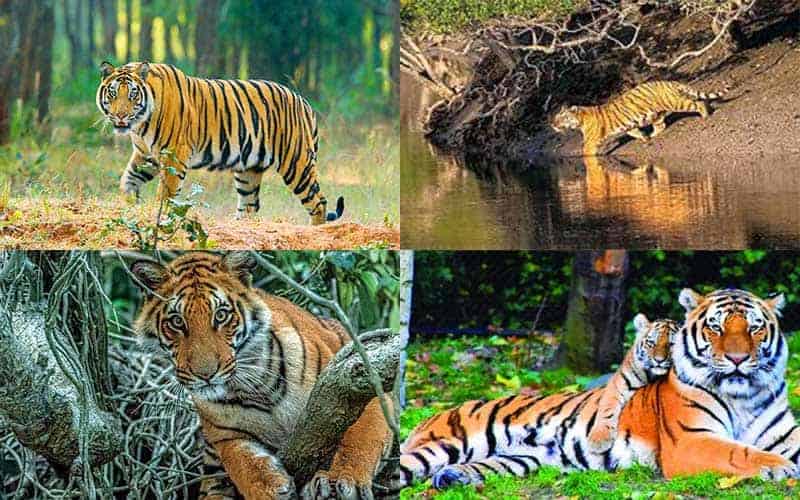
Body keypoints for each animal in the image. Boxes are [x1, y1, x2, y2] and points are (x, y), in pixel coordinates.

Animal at [96, 61, 344, 225]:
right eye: (113, 94)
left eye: (132, 95)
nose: (120, 116)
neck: (140, 123)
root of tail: (304, 102)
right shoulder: (146, 156)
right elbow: (128, 180)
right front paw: (131, 204)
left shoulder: (174, 155)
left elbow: (165, 195)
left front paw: (157, 219)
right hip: (249, 170)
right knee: (250, 205)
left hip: (296, 163)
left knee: (318, 202)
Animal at [130, 252, 392, 499]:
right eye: (176, 322)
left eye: (221, 315)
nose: (206, 374)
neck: (255, 388)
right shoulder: (226, 437)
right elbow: (243, 464)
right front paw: (270, 488)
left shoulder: (356, 382)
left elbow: (359, 437)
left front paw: (341, 480)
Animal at [551, 81, 728, 156]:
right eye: (555, 118)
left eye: (561, 118)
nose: (552, 125)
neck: (580, 120)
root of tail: (669, 82)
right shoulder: (629, 126)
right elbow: (635, 132)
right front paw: (645, 138)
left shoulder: (590, 141)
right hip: (656, 113)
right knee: (661, 125)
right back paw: (653, 136)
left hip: (675, 102)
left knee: (697, 103)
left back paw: (705, 115)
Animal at [586, 314, 678, 453]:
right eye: (651, 343)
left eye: (671, 344)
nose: (659, 360)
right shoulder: (616, 386)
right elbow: (607, 409)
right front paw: (598, 439)